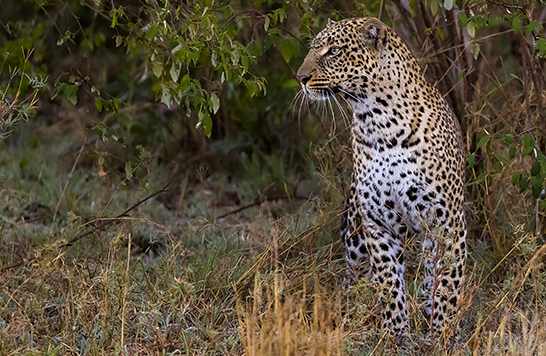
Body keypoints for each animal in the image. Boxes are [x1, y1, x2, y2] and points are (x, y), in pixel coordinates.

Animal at [296, 18, 466, 344]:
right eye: (314, 48)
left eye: (333, 51)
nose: (300, 78)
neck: (379, 124)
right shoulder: (378, 222)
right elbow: (389, 282)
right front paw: (396, 334)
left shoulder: (445, 221)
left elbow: (447, 282)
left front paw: (442, 334)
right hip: (354, 234)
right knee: (357, 277)